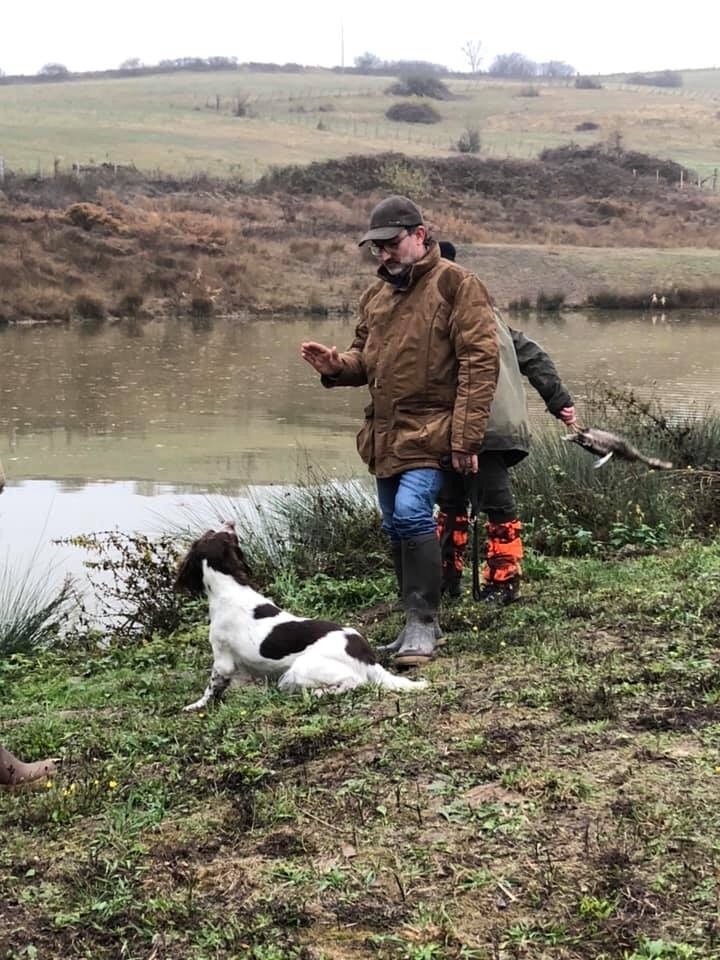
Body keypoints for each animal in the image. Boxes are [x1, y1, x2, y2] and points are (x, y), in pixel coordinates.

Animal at [173, 520, 428, 708]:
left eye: (217, 533)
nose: (230, 523)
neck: (229, 586)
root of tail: (368, 657)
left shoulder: (222, 658)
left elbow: (211, 688)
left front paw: (196, 705)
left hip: (301, 668)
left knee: (354, 682)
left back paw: (319, 694)